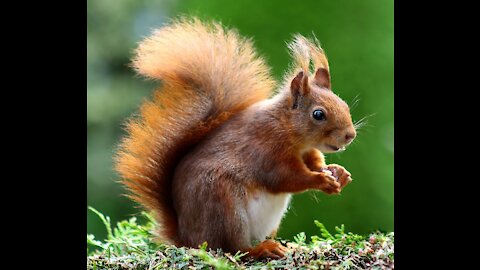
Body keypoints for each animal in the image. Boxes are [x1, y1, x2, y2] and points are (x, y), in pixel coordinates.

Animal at [116, 17, 356, 260]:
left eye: (344, 105)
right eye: (318, 114)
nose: (350, 135)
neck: (287, 129)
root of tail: (186, 238)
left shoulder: (307, 151)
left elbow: (315, 162)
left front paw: (338, 173)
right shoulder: (266, 149)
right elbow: (285, 178)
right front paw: (321, 180)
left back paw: (286, 246)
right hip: (225, 207)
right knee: (234, 248)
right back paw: (262, 249)